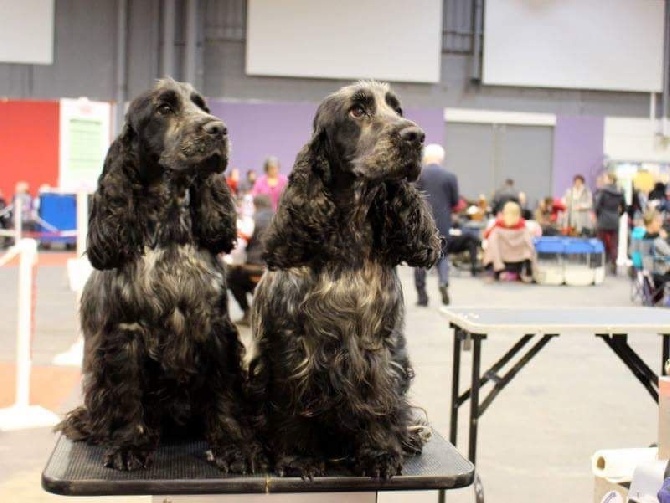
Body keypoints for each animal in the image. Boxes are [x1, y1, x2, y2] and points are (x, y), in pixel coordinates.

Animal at [57, 79, 264, 476]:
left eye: (201, 106)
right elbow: (128, 393)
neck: (168, 230)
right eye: (164, 109)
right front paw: (129, 445)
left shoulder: (213, 326)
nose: (218, 129)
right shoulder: (126, 333)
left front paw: (233, 446)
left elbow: (224, 392)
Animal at [249, 81, 444, 480]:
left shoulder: (379, 349)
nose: (415, 135)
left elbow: (381, 403)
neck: (347, 242)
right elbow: (292, 409)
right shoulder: (293, 348)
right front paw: (298, 459)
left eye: (397, 108)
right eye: (358, 110)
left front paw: (380, 454)